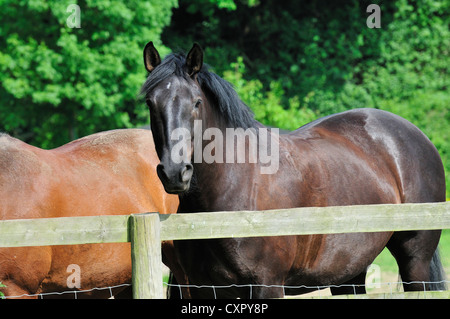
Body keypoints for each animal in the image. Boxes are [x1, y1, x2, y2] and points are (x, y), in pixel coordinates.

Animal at [141, 43, 446, 300]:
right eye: (151, 104)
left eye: (196, 102)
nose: (174, 172)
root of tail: (418, 137)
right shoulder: (202, 288)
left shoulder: (267, 284)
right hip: (349, 273)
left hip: (415, 262)